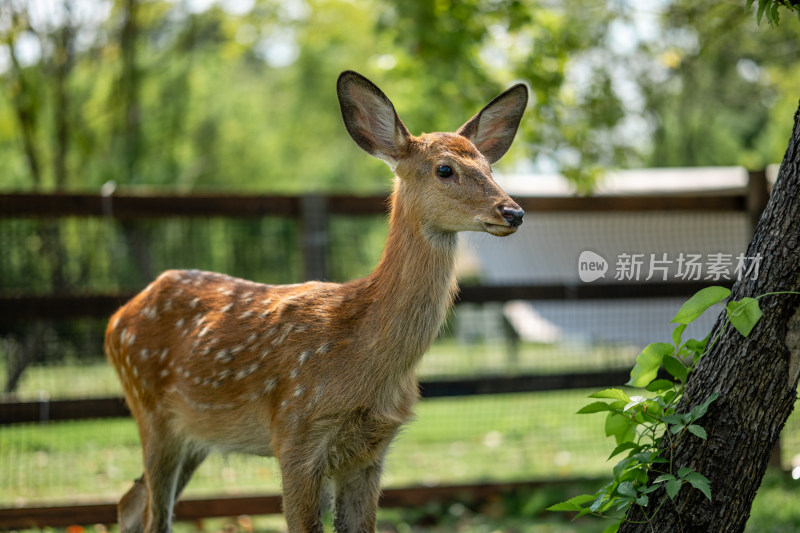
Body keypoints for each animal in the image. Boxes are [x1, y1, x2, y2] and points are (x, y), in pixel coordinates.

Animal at [108, 70, 532, 532]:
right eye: (444, 169)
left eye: (489, 167)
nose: (513, 212)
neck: (364, 358)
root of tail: (117, 318)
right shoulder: (294, 433)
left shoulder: (371, 451)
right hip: (150, 409)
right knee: (152, 514)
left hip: (194, 433)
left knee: (130, 502)